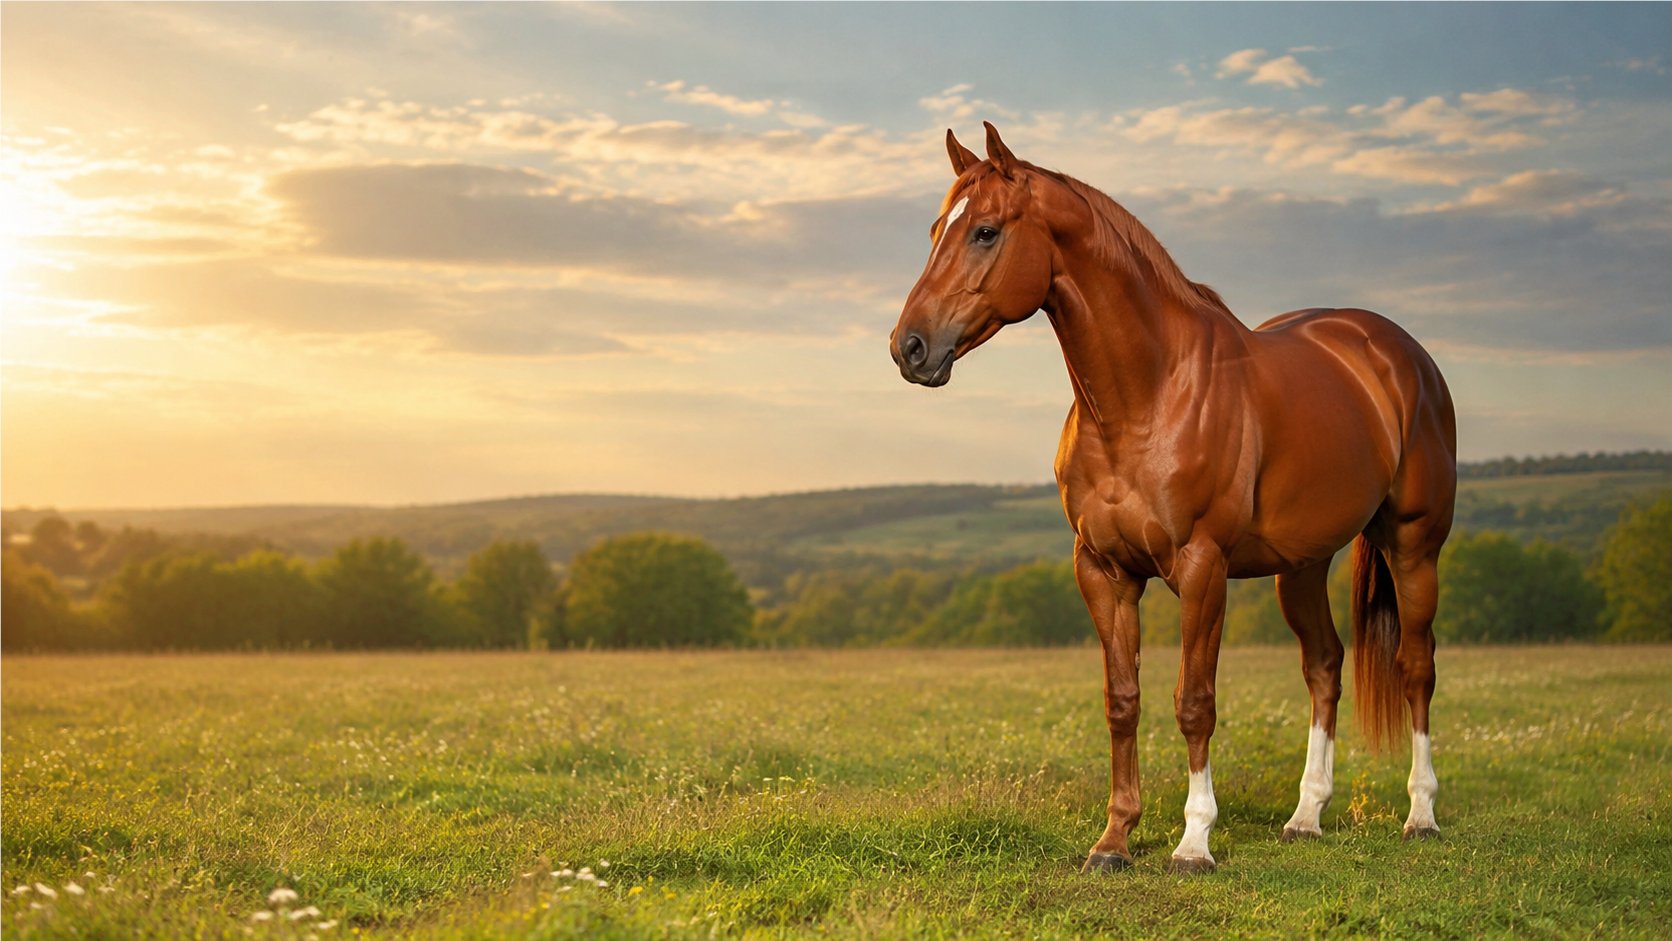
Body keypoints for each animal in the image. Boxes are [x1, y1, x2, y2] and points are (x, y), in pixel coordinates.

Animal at [889, 123, 1457, 874]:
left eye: (985, 231)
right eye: (935, 229)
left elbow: (1194, 701)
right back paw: (1305, 816)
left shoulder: (1201, 568)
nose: (909, 347)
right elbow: (1122, 700)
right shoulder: (1104, 572)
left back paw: (1421, 814)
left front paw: (1194, 840)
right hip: (1302, 566)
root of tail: (1396, 352)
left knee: (1415, 666)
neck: (1147, 398)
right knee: (1325, 667)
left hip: (1413, 543)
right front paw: (1114, 839)